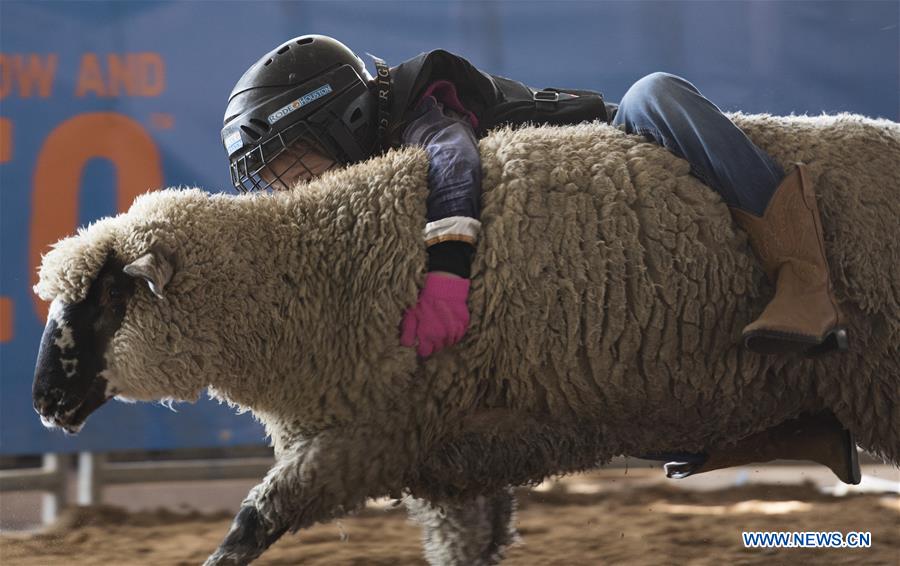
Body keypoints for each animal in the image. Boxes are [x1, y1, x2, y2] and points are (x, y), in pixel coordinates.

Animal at [31, 112, 899, 565]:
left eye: (103, 301)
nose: (42, 402)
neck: (315, 268)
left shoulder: (366, 436)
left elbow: (247, 527)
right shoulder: (446, 457)